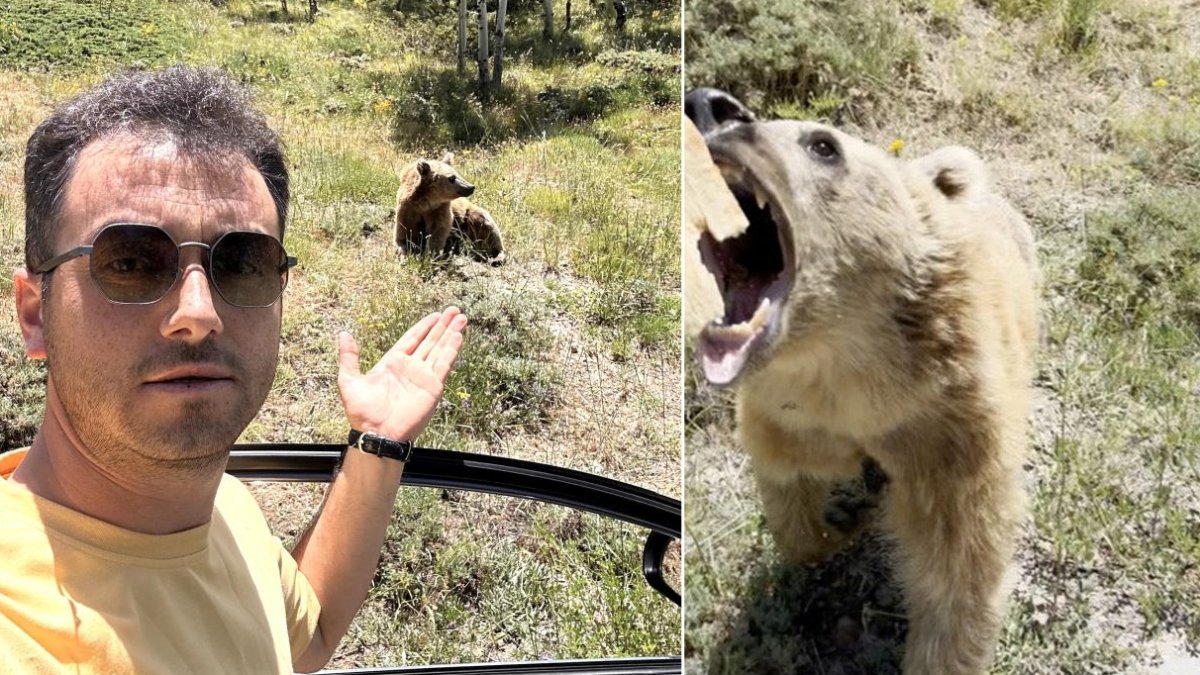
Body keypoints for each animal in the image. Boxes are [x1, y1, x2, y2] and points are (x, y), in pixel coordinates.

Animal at [686, 90, 1041, 672]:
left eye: (824, 144)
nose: (709, 106)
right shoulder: (792, 411)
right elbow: (789, 487)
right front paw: (836, 521)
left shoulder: (952, 432)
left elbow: (958, 571)